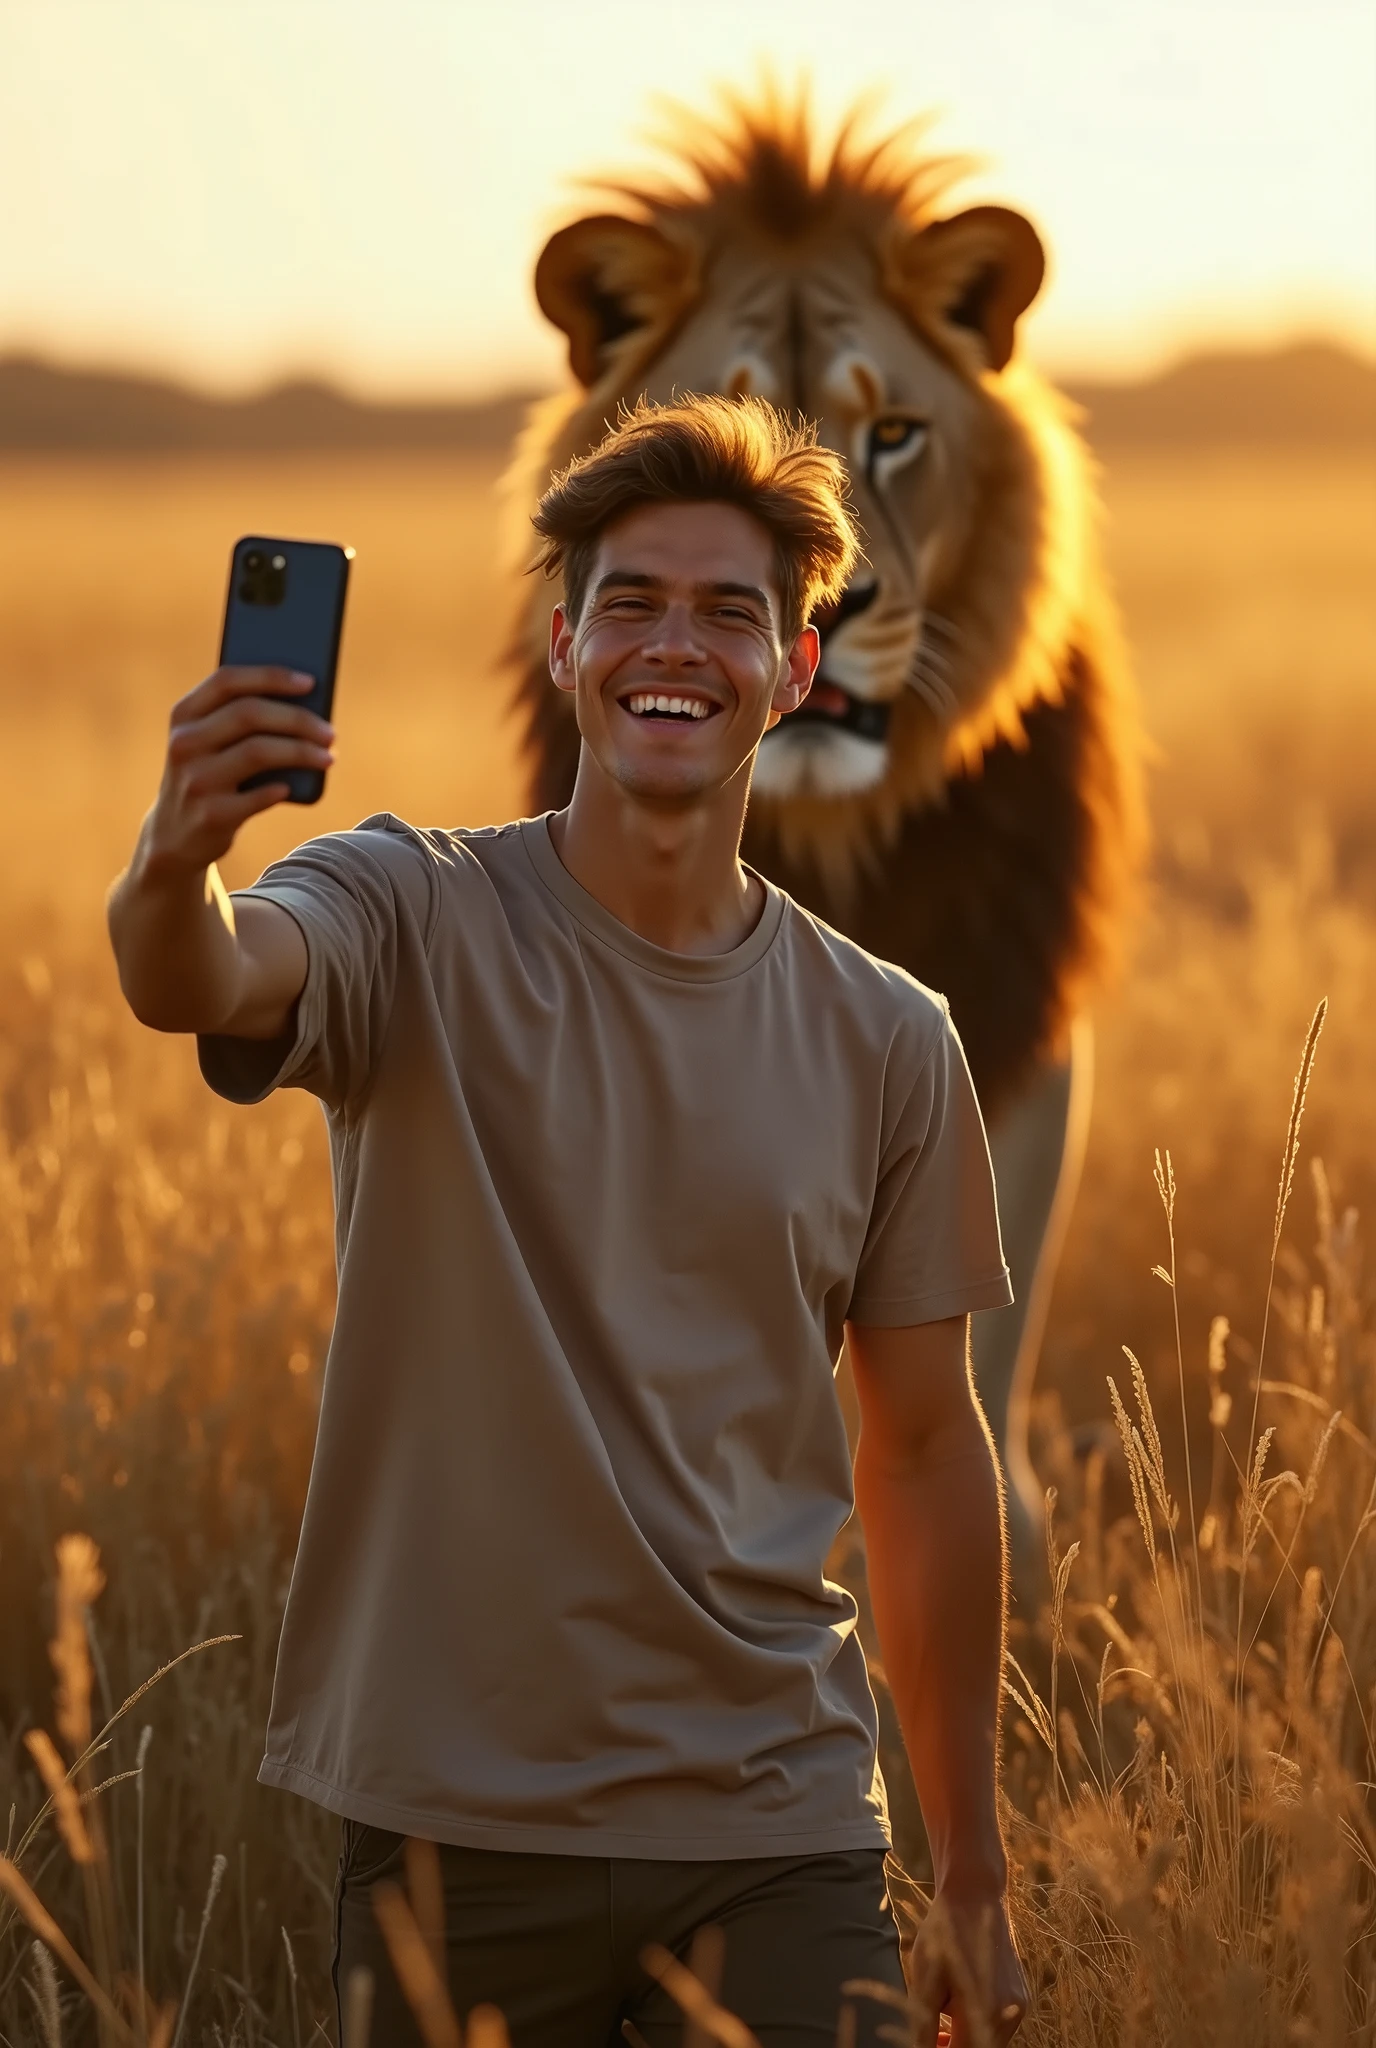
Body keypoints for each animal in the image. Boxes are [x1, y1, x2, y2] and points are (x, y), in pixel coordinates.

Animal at [499, 92, 1146, 1597]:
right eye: (706, 425)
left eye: (895, 430)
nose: (827, 598)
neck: (830, 833)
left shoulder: (1007, 1012)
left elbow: (974, 1324)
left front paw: (999, 1556)